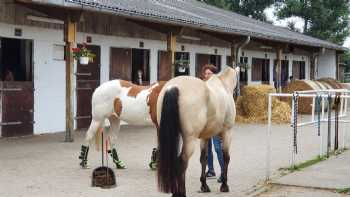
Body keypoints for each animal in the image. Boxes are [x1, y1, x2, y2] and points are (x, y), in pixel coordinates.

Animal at [157, 67, 239, 196]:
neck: (223, 86)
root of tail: (173, 87)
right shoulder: (227, 133)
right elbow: (226, 157)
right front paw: (224, 185)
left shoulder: (205, 137)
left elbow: (203, 159)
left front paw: (204, 185)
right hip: (190, 139)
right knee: (182, 162)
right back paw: (181, 193)